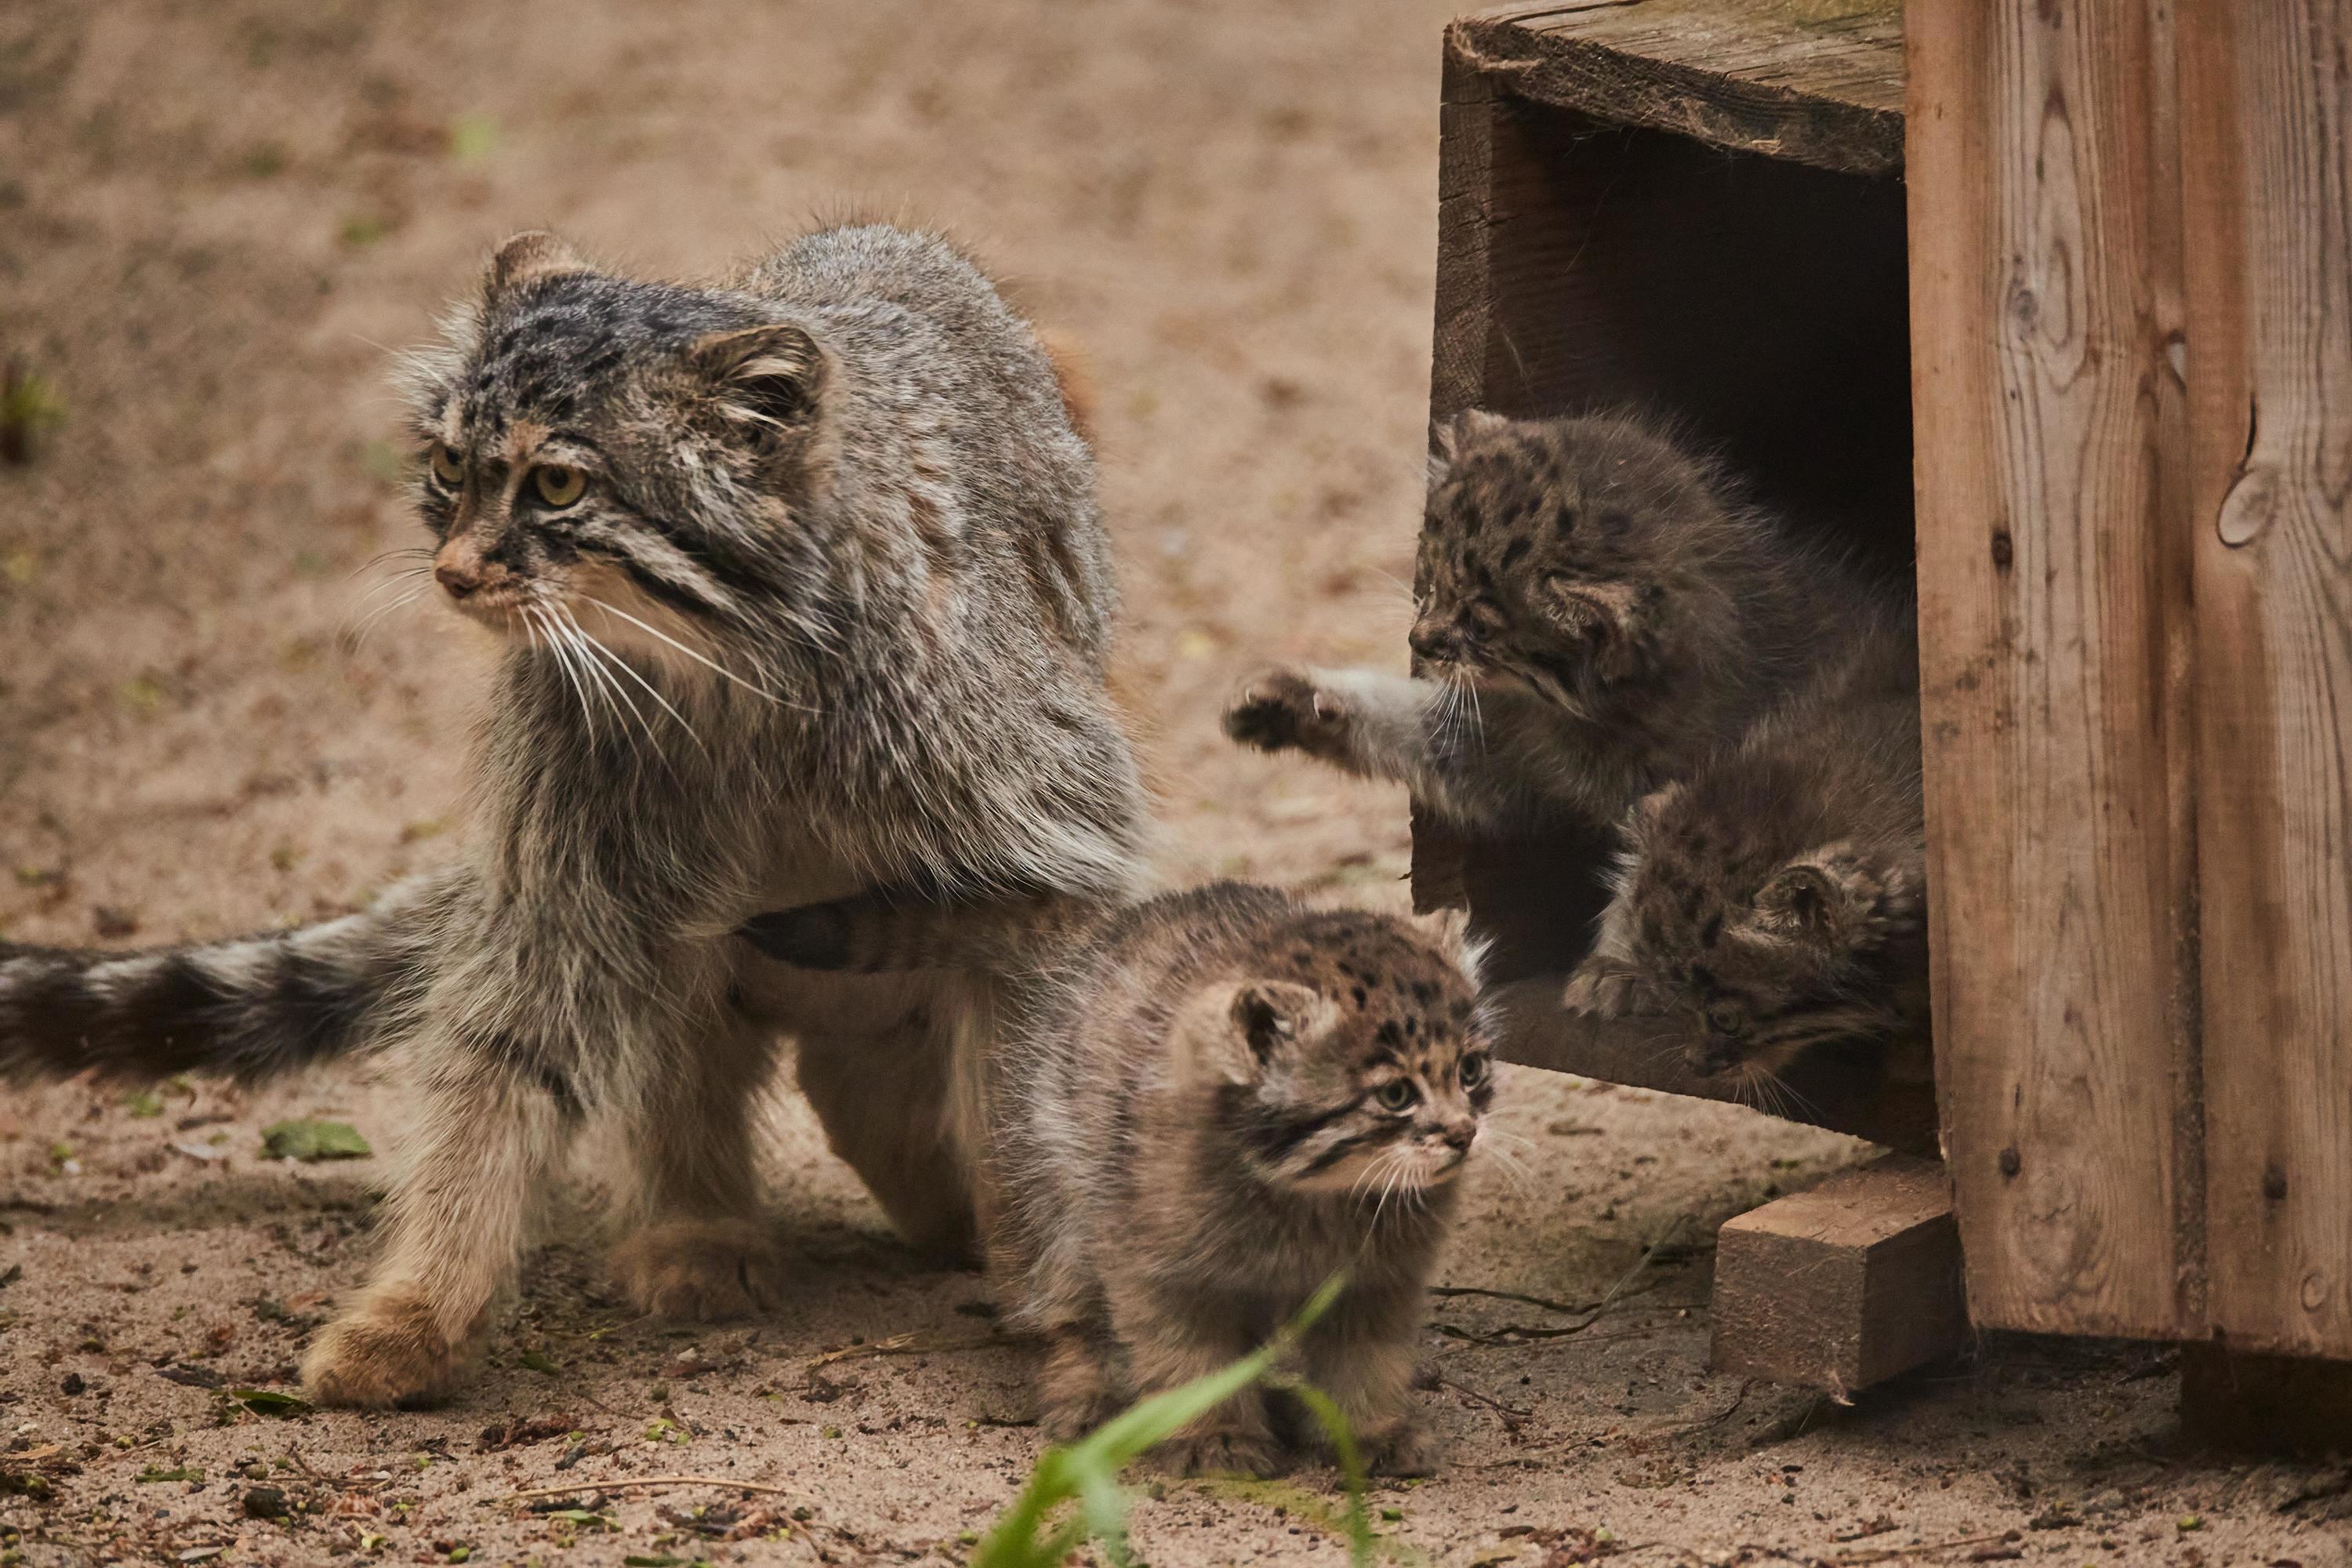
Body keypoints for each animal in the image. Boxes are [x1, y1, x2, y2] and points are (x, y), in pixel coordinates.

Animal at [0, 223, 1148, 1410]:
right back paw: (698, 1220)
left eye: (556, 484)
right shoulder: (566, 855)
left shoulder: (1040, 847)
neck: (736, 680)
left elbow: (1023, 1084)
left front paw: (1046, 1274)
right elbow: (501, 1057)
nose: (455, 571)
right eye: (449, 469)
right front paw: (422, 1303)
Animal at [753, 888, 1486, 1476]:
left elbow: (1365, 1360)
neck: (1312, 1195)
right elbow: (1190, 1355)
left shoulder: (1377, 1281)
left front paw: (1371, 1431)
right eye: (1395, 1094)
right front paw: (1216, 1433)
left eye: (1471, 1070)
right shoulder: (1163, 1268)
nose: (1463, 1134)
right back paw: (1089, 1392)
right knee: (1067, 1305)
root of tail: (1105, 929)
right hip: (1055, 1191)